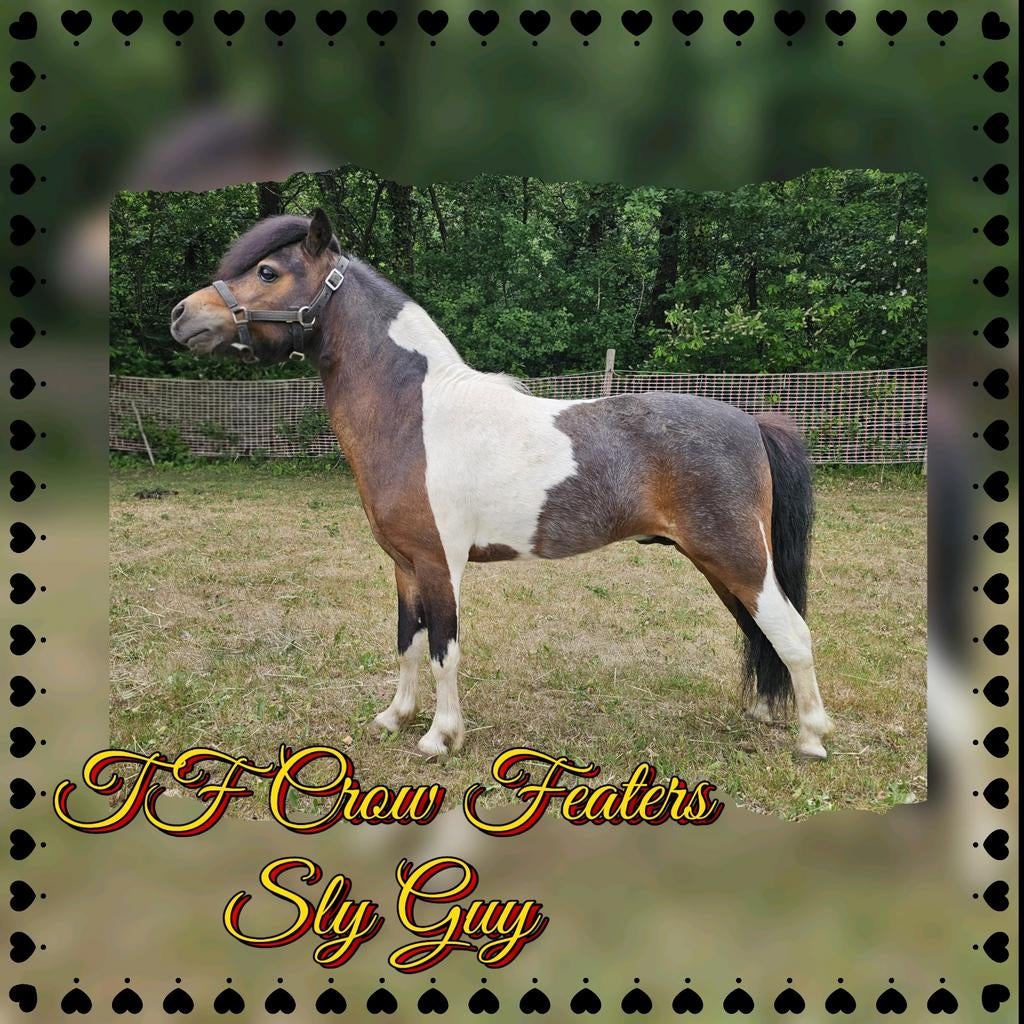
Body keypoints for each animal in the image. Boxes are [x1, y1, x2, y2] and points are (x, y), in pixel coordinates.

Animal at [170, 209, 835, 760]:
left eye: (267, 270)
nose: (182, 316)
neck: (417, 413)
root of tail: (750, 421)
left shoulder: (441, 564)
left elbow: (445, 649)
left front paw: (440, 738)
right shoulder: (405, 566)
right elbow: (408, 642)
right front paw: (394, 718)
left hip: (738, 557)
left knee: (792, 633)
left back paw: (811, 738)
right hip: (723, 565)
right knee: (760, 632)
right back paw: (764, 713)